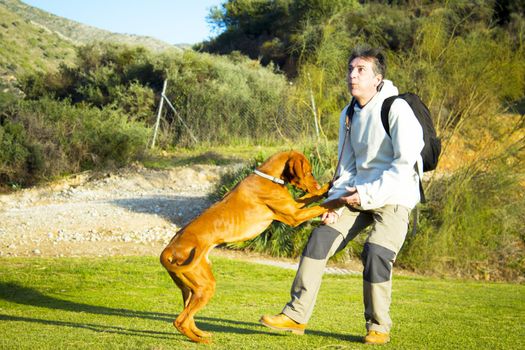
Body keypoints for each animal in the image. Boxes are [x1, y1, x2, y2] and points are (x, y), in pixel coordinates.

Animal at [160, 150, 328, 342]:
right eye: (309, 172)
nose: (317, 184)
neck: (269, 177)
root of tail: (168, 249)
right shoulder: (294, 215)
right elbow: (320, 207)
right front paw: (336, 200)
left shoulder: (295, 206)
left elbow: (311, 198)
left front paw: (327, 187)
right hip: (205, 285)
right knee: (180, 320)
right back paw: (200, 340)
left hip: (190, 289)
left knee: (188, 317)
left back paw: (200, 333)